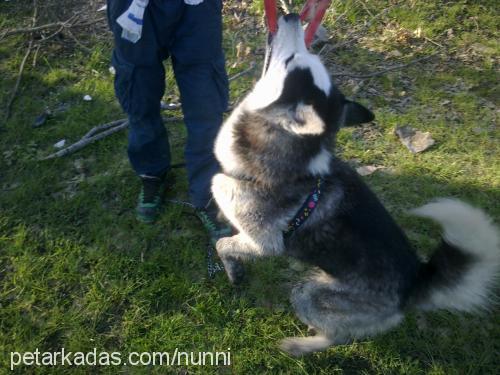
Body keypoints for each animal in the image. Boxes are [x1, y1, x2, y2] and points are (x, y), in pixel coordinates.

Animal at [210, 13, 496, 356]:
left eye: (293, 61)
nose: (292, 16)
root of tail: (413, 283)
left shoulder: (264, 243)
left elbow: (223, 244)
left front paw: (232, 268)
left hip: (309, 293)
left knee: (337, 334)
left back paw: (301, 345)